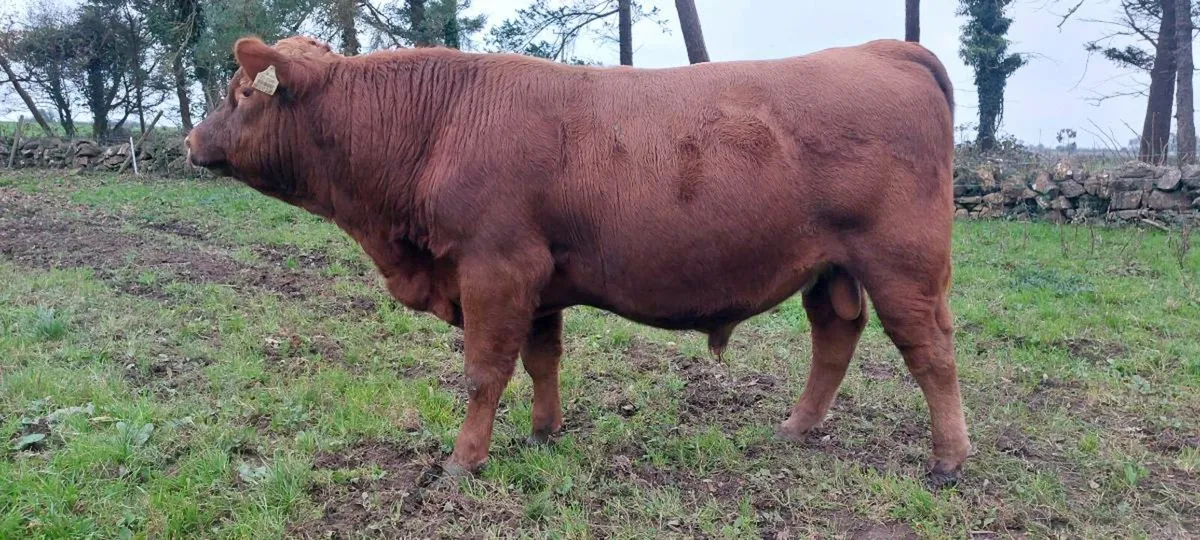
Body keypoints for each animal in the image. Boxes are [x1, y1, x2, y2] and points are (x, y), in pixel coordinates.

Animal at [186, 35, 972, 486]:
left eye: (238, 94)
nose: (191, 142)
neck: (435, 125)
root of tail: (883, 49)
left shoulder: (494, 267)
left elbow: (483, 372)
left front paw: (462, 463)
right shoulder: (536, 283)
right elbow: (541, 360)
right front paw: (543, 433)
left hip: (902, 263)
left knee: (931, 353)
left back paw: (948, 461)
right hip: (832, 267)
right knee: (835, 336)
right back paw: (797, 428)